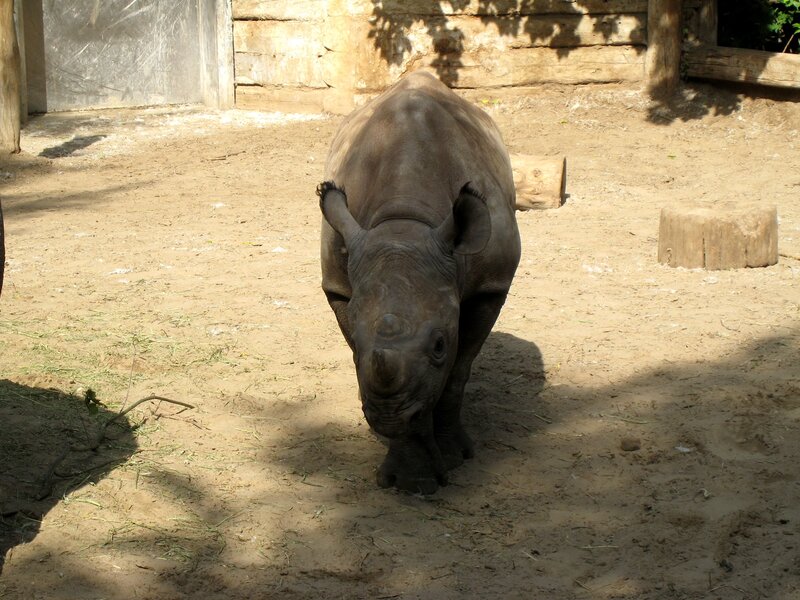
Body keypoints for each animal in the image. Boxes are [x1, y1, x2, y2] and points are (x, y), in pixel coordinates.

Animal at [318, 71, 521, 494]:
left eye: (440, 345)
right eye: (357, 342)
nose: (388, 418)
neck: (405, 223)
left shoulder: (491, 285)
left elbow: (457, 371)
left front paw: (455, 459)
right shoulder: (339, 286)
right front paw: (411, 479)